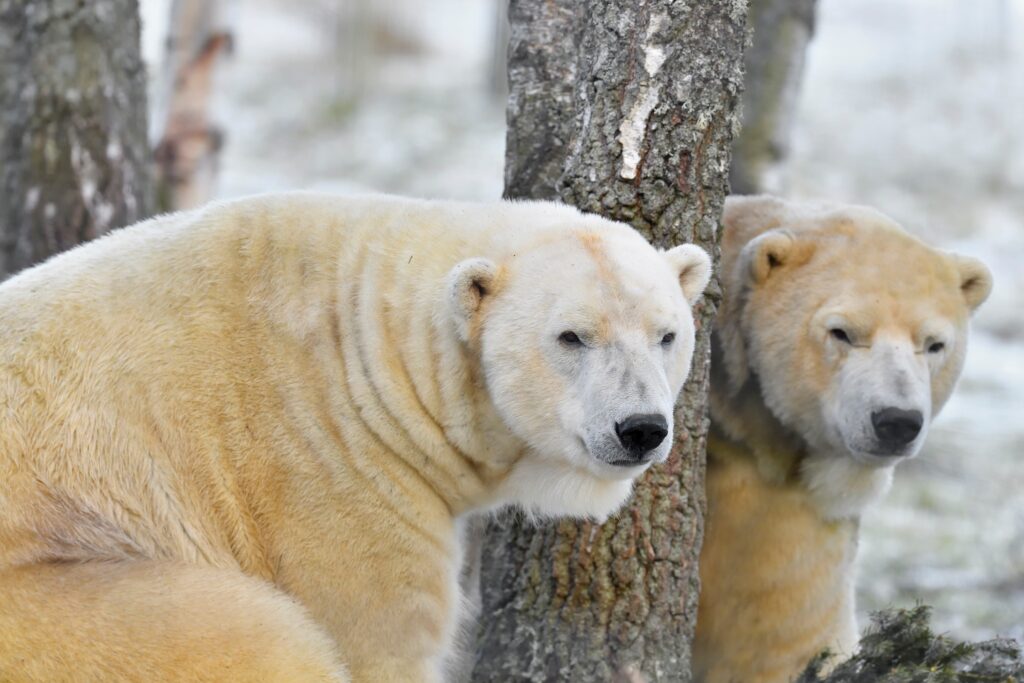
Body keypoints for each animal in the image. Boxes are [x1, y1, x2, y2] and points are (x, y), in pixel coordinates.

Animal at [0, 192, 712, 683]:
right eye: (571, 336)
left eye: (666, 334)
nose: (640, 429)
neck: (370, 349)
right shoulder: (335, 478)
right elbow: (380, 638)